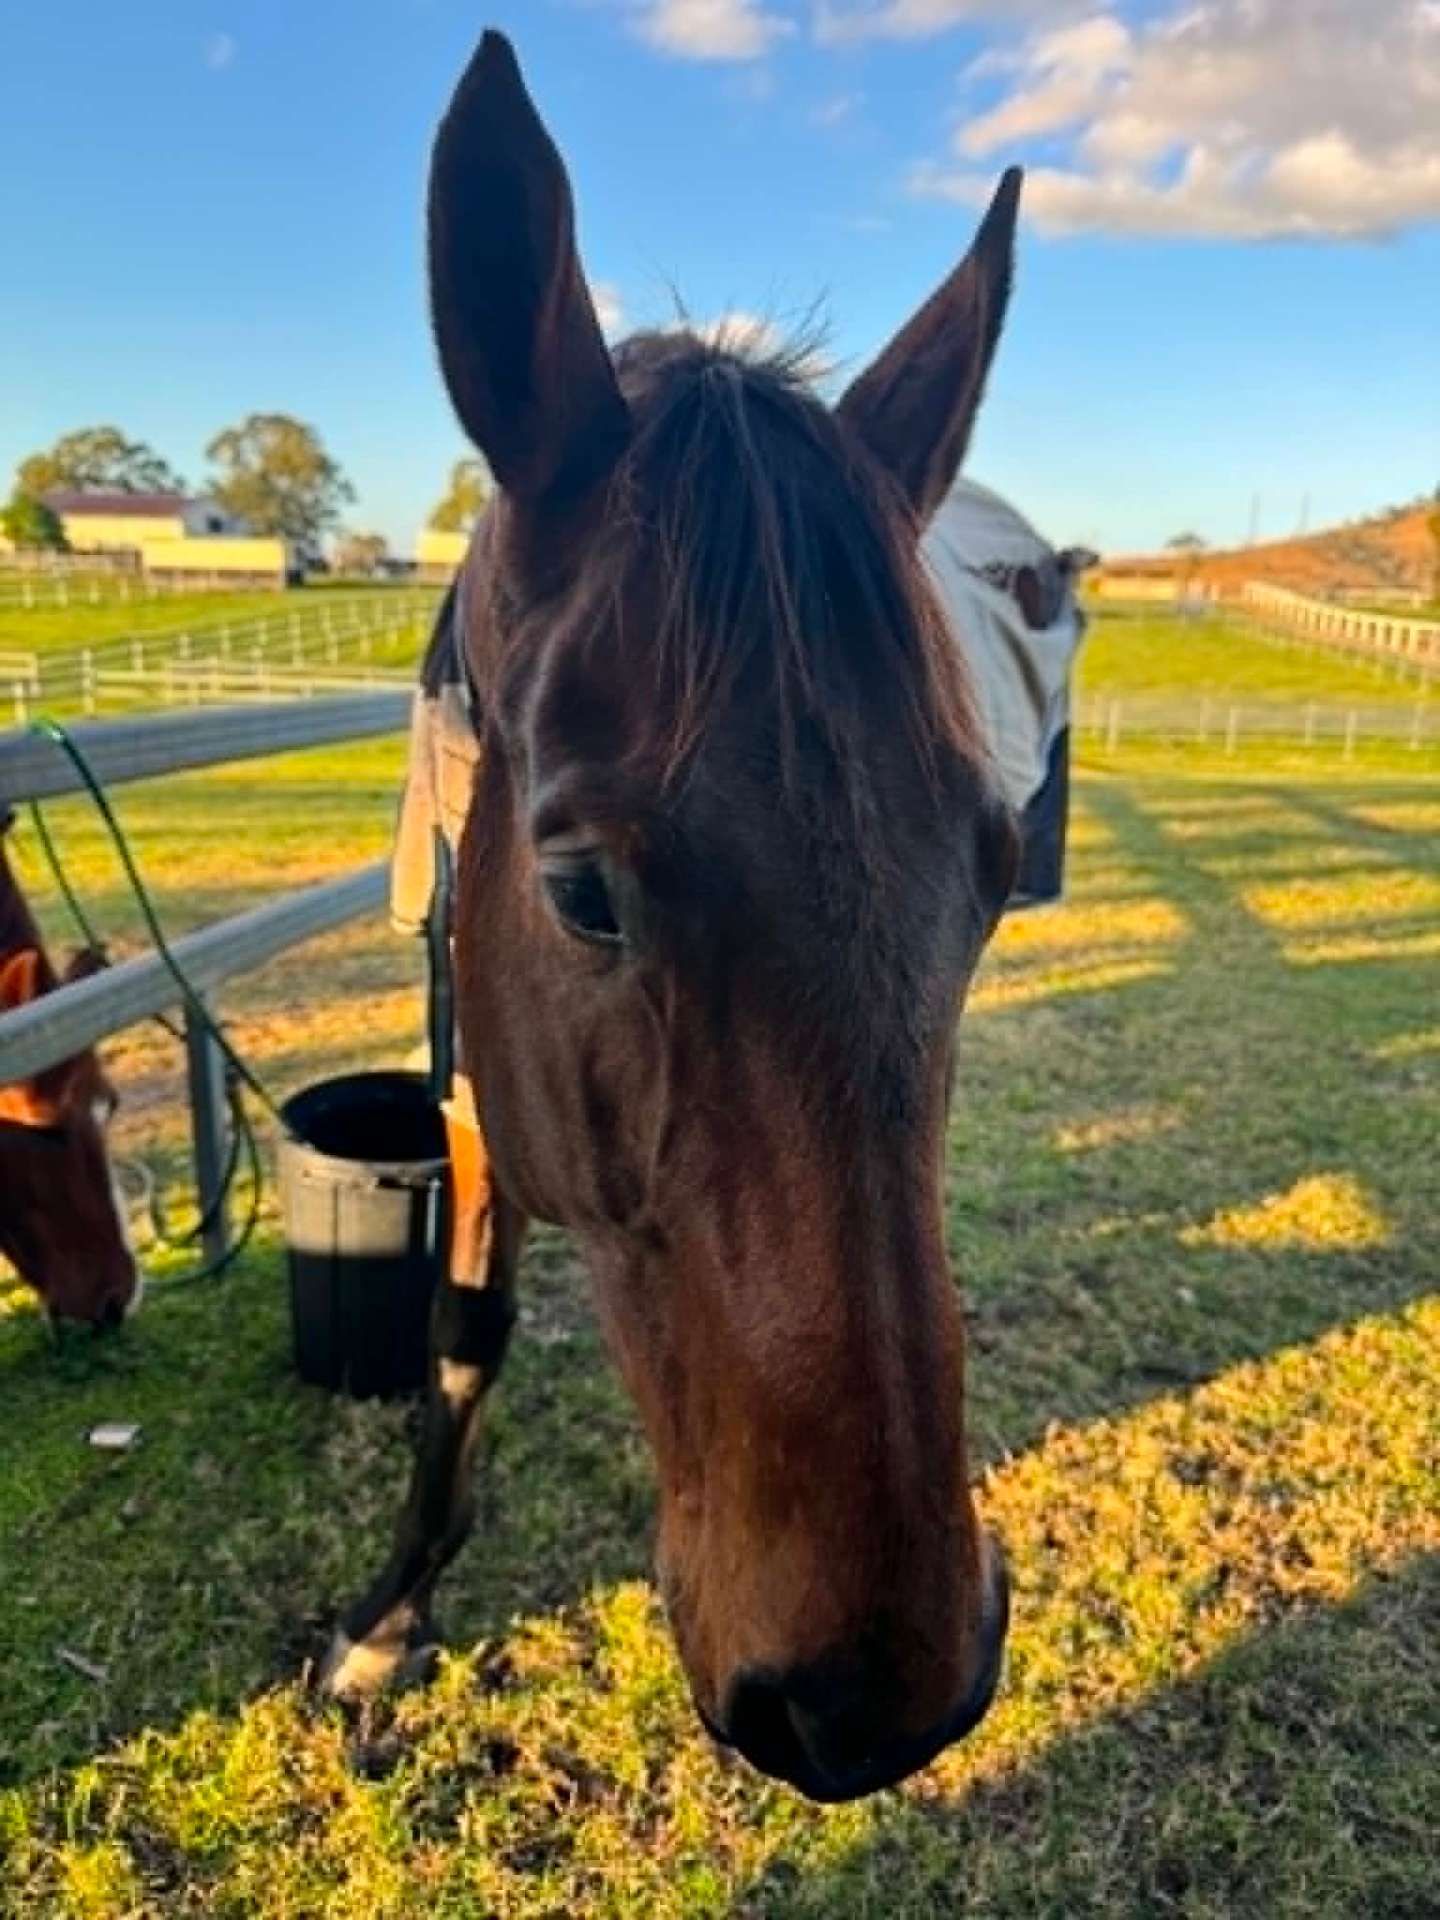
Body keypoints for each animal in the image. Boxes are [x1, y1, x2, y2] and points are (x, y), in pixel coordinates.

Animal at [325, 30, 1027, 1804]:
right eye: (578, 888)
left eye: (995, 870)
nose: (881, 1695)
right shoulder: (472, 1071)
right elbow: (466, 1328)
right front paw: (389, 1614)